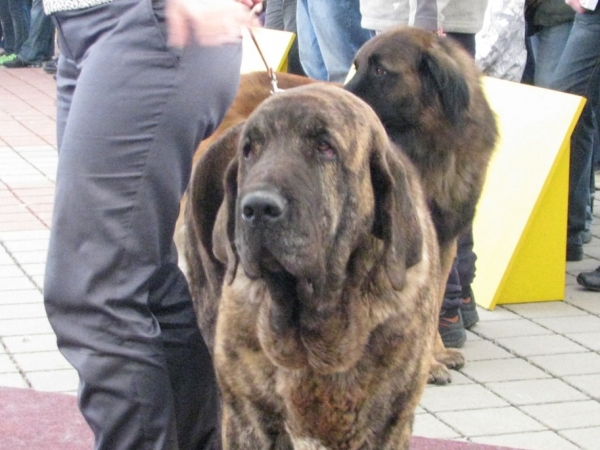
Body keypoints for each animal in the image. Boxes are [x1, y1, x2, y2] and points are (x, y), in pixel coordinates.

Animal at [344, 25, 500, 384]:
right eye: (356, 66)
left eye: (380, 70)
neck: (434, 146)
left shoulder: (444, 242)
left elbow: (434, 305)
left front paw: (434, 354)